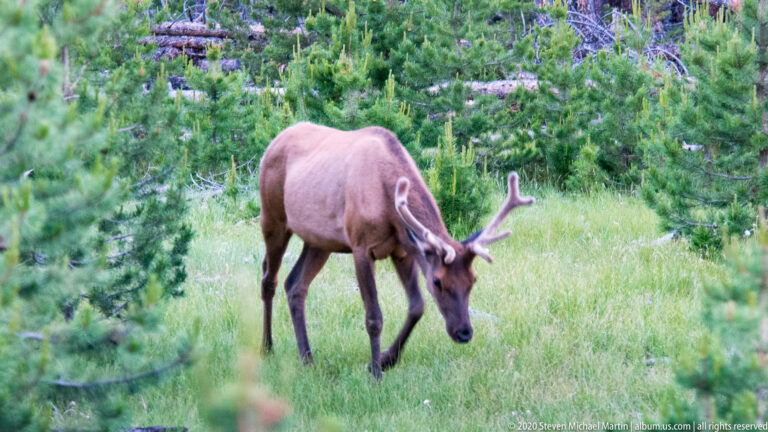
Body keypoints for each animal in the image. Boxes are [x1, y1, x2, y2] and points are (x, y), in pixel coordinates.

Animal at [258, 122, 534, 380]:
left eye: (473, 280)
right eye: (437, 281)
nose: (464, 332)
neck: (388, 202)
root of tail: (274, 141)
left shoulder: (402, 250)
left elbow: (417, 306)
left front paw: (386, 359)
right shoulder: (360, 246)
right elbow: (374, 318)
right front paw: (376, 374)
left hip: (319, 241)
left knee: (295, 284)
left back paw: (307, 359)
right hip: (273, 218)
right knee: (268, 278)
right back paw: (267, 347)